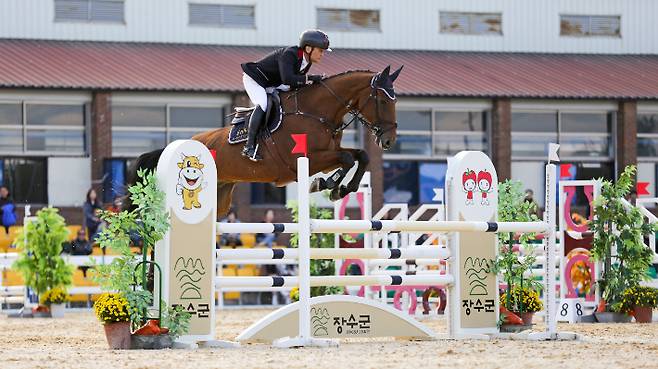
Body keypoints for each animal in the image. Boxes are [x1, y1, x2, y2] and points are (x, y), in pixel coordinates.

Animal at [128, 66, 400, 216]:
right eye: (383, 100)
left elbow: (359, 156)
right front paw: (325, 185)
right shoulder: (307, 160)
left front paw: (341, 189)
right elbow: (346, 159)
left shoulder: (327, 154)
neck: (317, 112)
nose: (389, 141)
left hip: (220, 195)